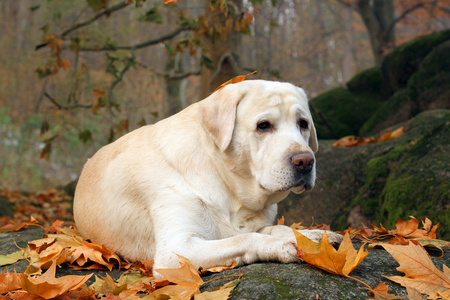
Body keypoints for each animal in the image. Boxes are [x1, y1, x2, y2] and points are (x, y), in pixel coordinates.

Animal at [74, 79, 342, 274]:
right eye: (263, 125)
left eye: (303, 124)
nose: (305, 161)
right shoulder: (175, 250)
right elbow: (243, 240)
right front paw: (284, 246)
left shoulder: (256, 223)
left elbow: (276, 228)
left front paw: (315, 235)